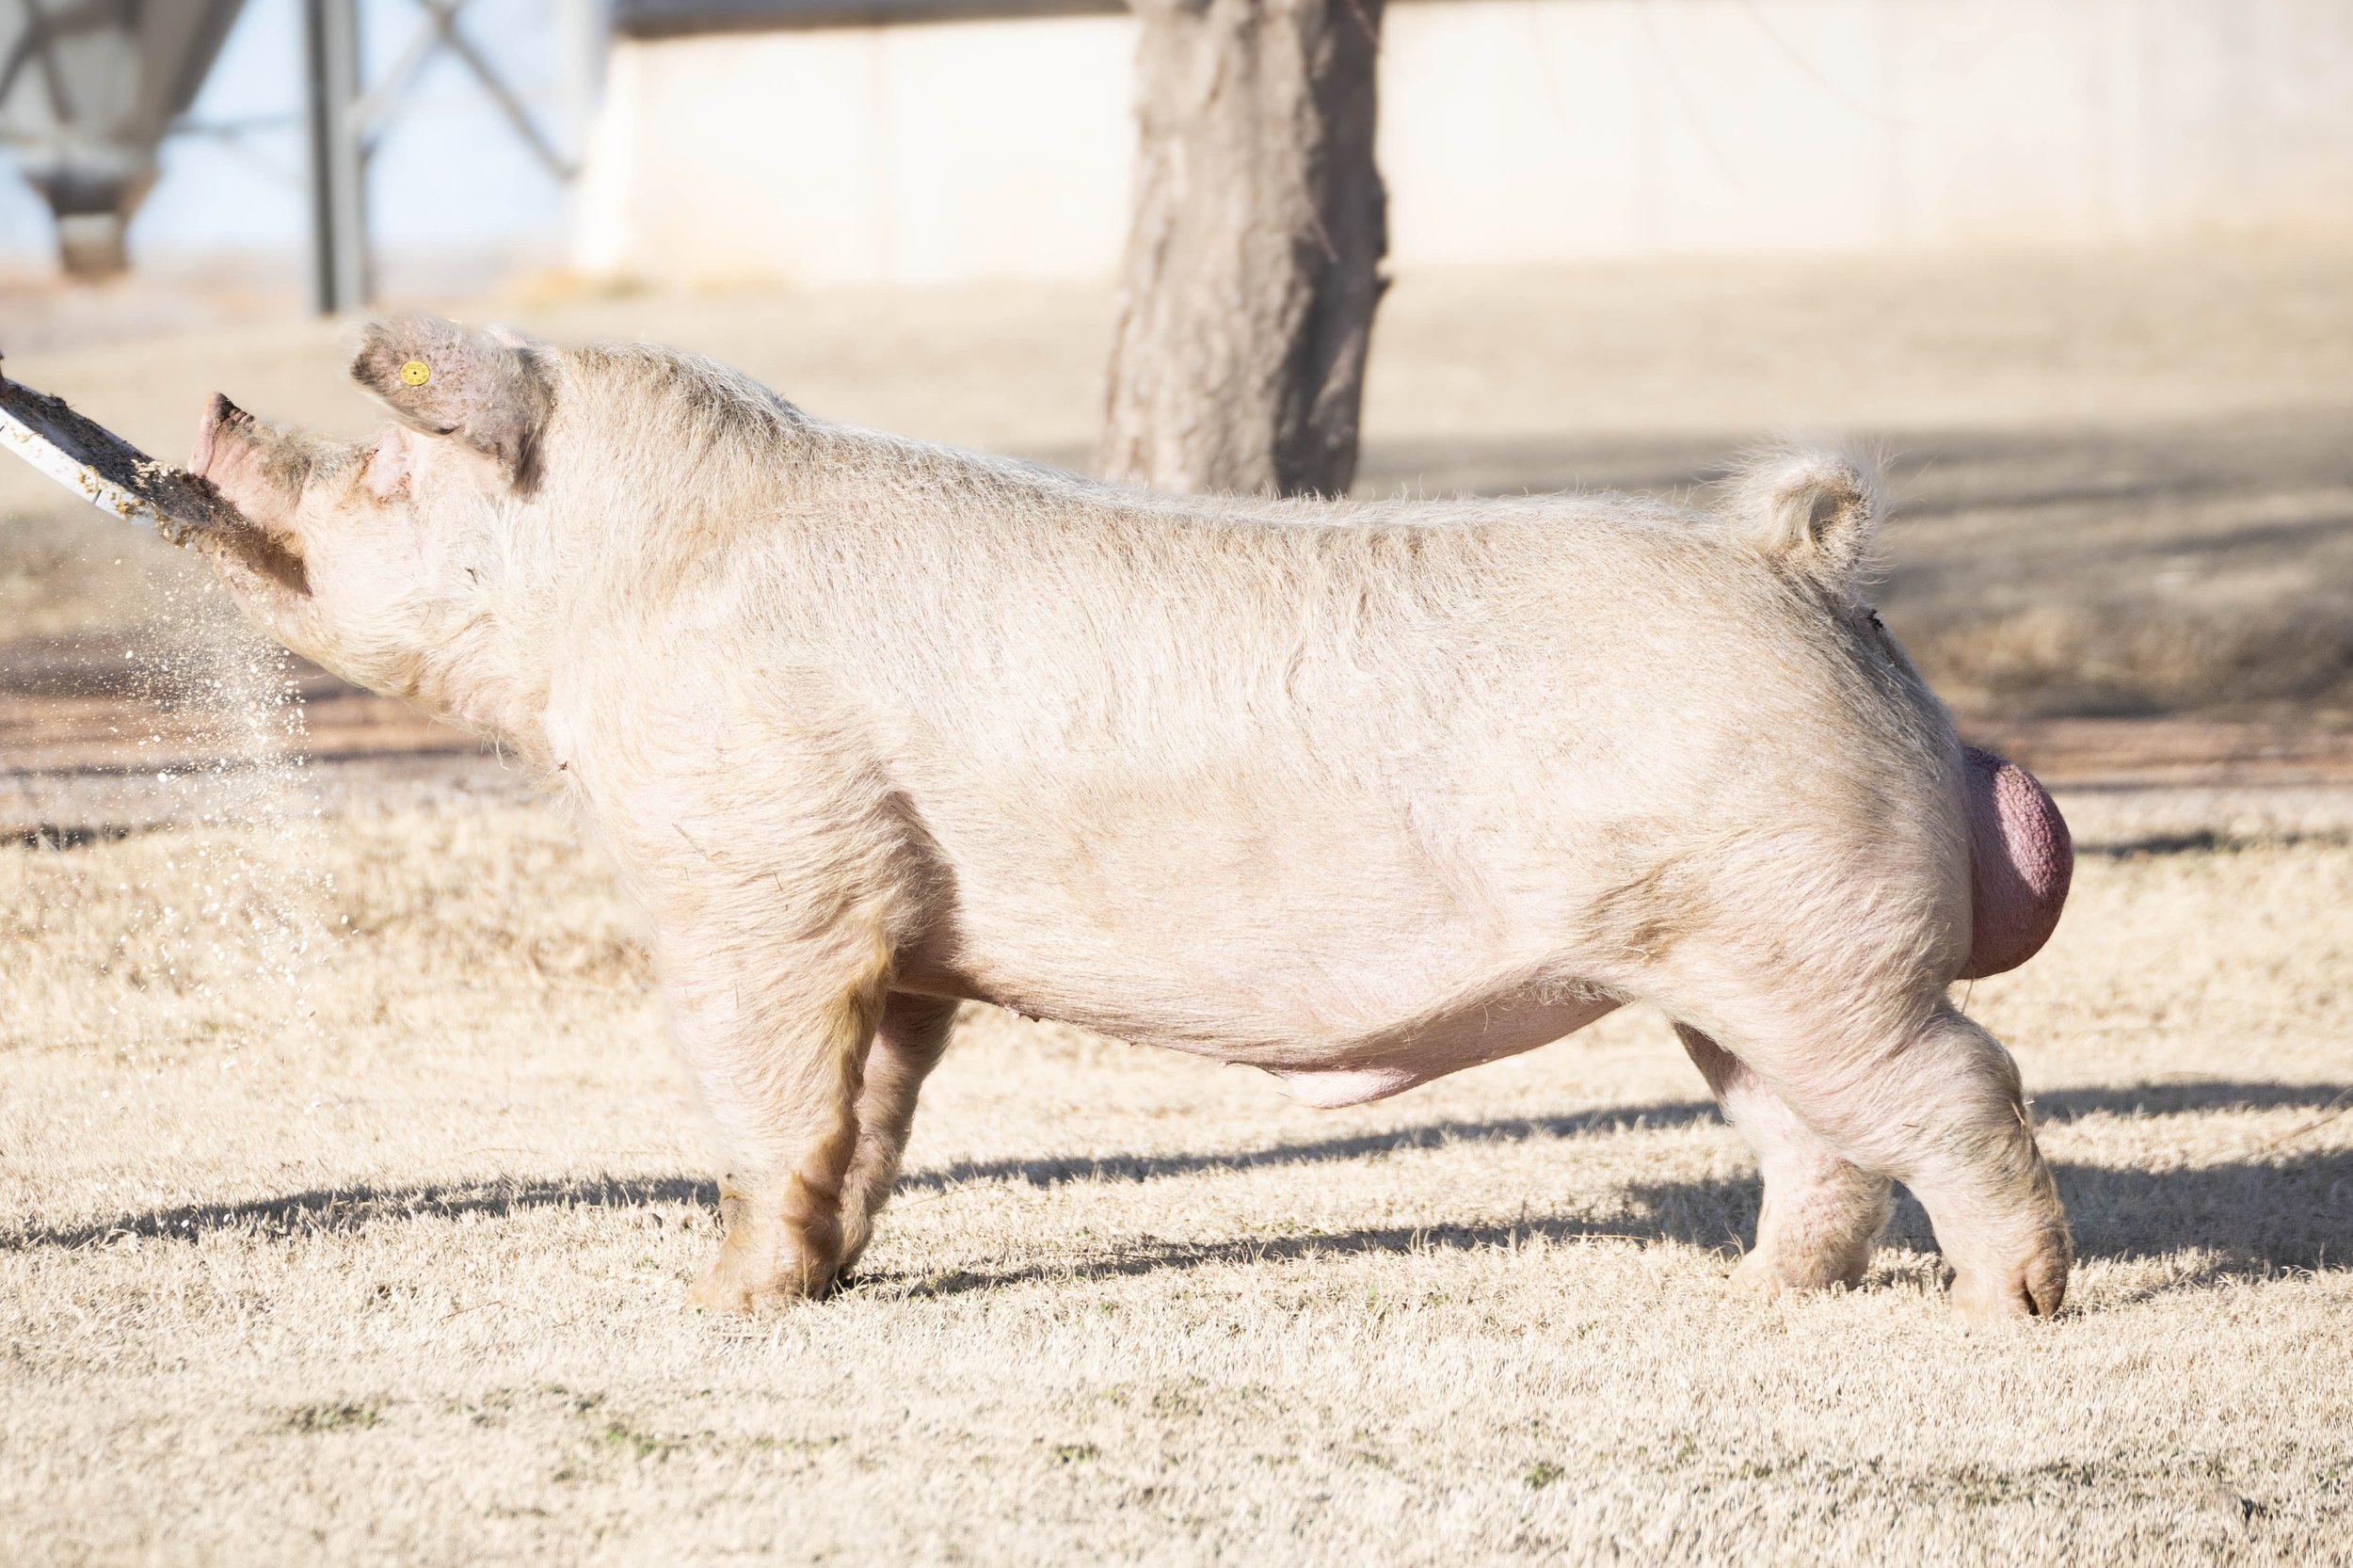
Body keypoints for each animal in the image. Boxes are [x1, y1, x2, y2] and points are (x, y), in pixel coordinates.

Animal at [187, 315, 2076, 1322]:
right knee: (1815, 1141)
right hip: (1731, 969)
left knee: (1965, 1087)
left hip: (1818, 945)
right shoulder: (896, 934)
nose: (211, 409)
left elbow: (761, 1097)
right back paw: (1755, 1299)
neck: (620, 594)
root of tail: (1796, 560)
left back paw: (2014, 1305)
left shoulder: (754, 879)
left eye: (385, 466)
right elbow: (865, 1119)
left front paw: (716, 1303)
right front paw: (824, 1276)